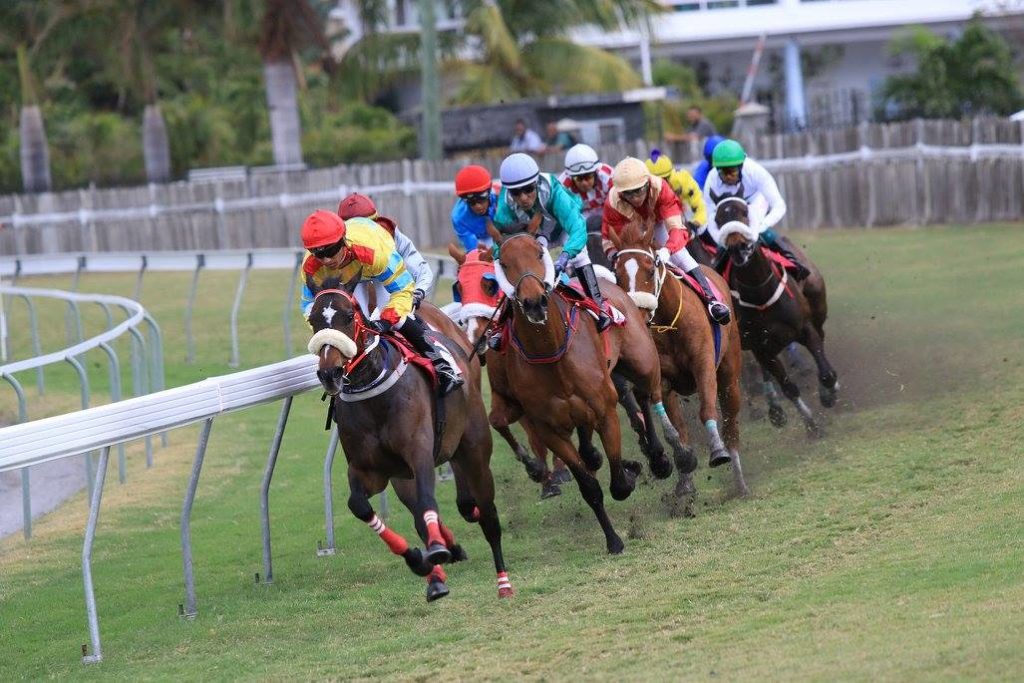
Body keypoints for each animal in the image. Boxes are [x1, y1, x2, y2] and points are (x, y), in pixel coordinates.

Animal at [303, 280, 512, 602]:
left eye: (348, 317)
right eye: (313, 320)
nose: (330, 373)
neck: (374, 395)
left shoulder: (419, 453)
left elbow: (428, 500)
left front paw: (437, 549)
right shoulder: (370, 470)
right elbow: (359, 505)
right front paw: (418, 559)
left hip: (475, 450)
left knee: (488, 516)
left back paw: (503, 582)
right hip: (403, 477)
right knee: (421, 516)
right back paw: (437, 576)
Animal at [606, 223, 753, 501]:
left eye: (650, 269)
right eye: (617, 275)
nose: (635, 315)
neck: (669, 322)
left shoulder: (704, 365)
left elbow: (707, 410)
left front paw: (717, 451)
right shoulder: (661, 378)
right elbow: (673, 426)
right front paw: (683, 464)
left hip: (730, 376)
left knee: (731, 425)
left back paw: (740, 481)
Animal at [716, 197, 835, 436]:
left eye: (745, 212)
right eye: (718, 218)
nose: (738, 248)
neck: (760, 293)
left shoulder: (805, 328)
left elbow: (825, 371)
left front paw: (829, 392)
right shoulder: (761, 346)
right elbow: (788, 387)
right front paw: (811, 424)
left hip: (817, 301)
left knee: (821, 335)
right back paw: (774, 408)